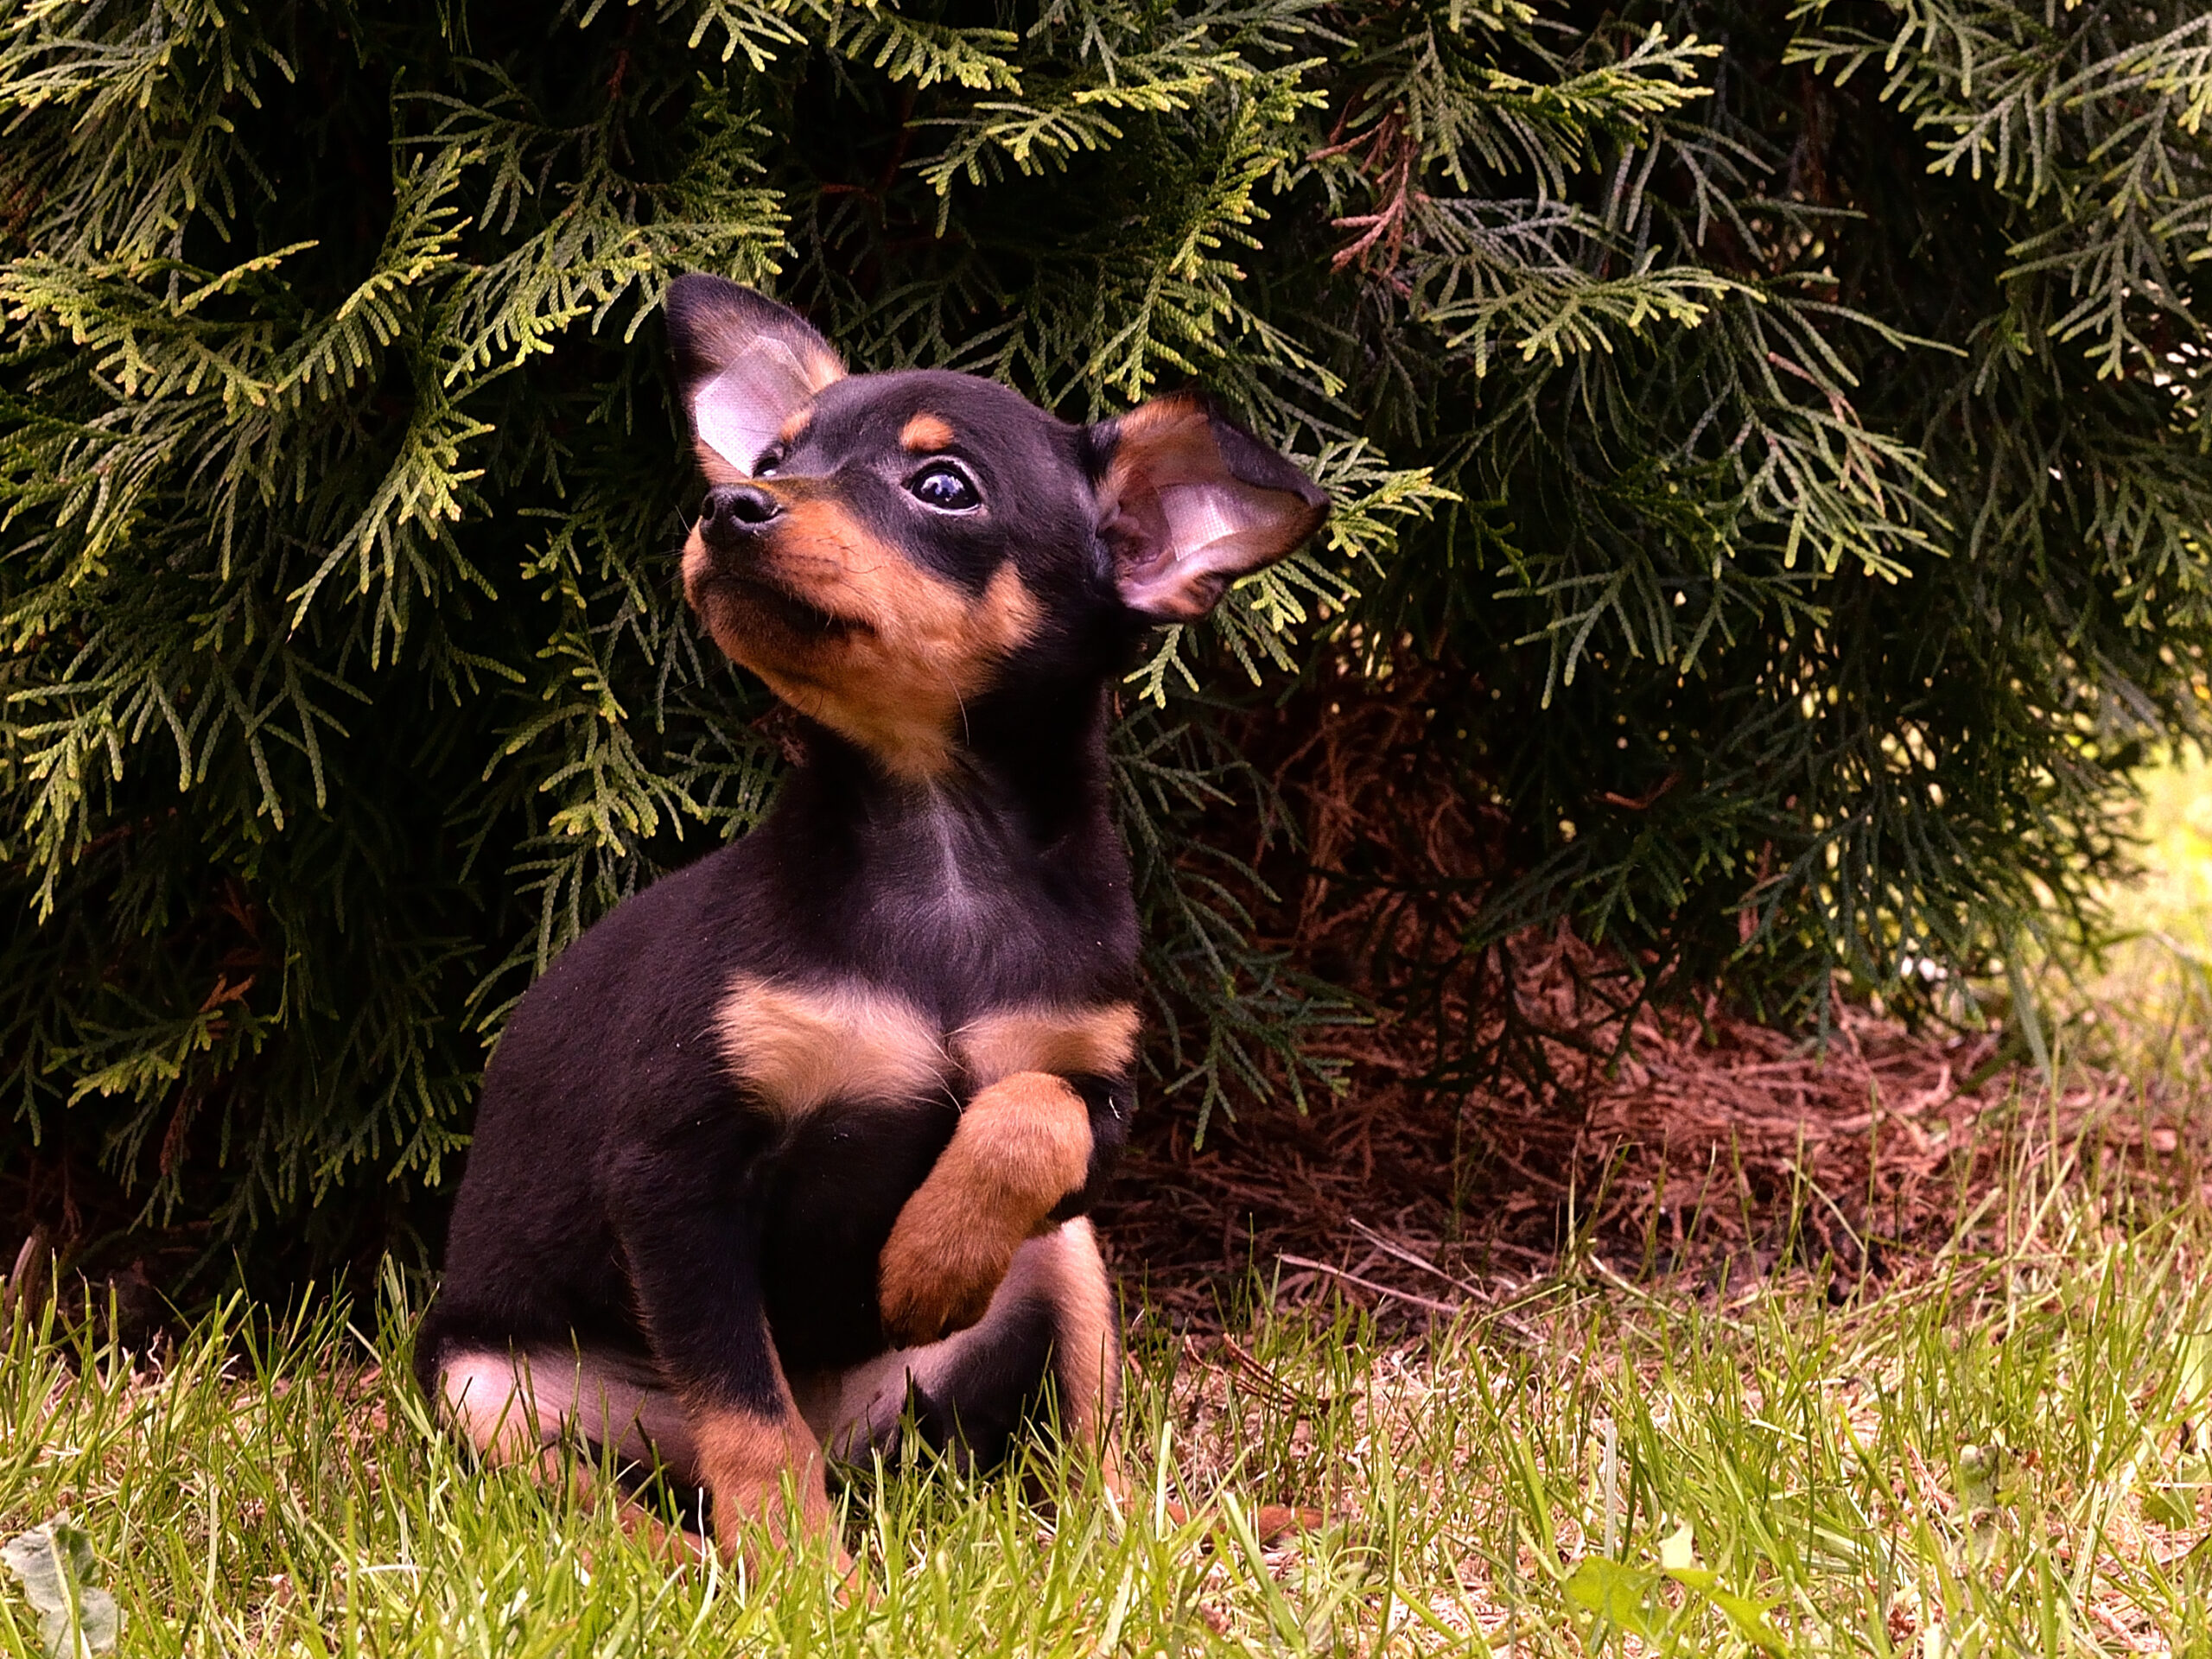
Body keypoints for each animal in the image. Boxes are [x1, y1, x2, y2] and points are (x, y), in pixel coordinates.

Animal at [417, 276, 1327, 1574]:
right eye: (775, 460)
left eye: (941, 487)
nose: (728, 504)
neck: (935, 834)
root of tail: (864, 1449)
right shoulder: (680, 1176)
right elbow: (750, 1417)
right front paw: (809, 1586)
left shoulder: (1098, 1095)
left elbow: (1026, 1114)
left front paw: (927, 1264)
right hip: (488, 1388)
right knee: (613, 1496)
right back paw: (697, 1564)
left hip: (1069, 1264)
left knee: (1083, 1454)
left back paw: (1175, 1534)